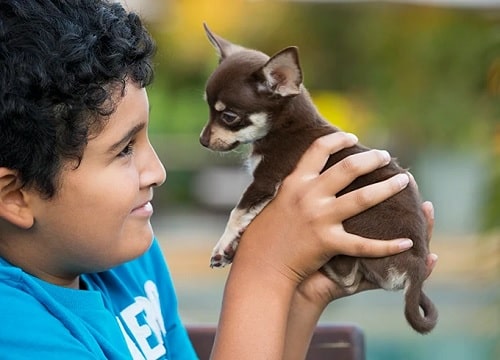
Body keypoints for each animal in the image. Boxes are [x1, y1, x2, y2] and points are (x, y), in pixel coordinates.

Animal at [199, 23, 438, 334]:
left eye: (228, 116)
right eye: (207, 109)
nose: (202, 140)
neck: (287, 126)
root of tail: (417, 268)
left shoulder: (266, 179)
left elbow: (236, 213)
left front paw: (222, 246)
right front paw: (231, 246)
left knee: (348, 277)